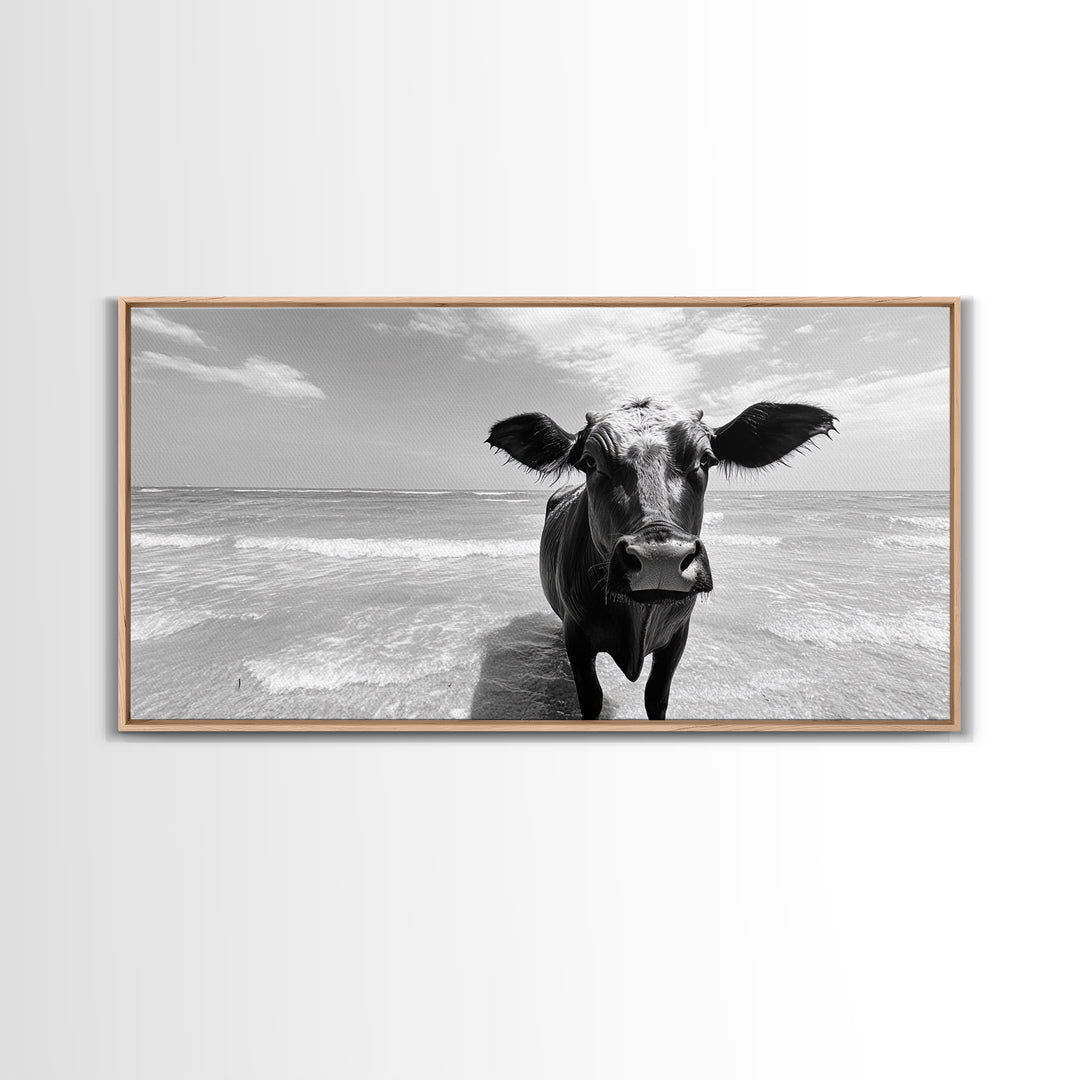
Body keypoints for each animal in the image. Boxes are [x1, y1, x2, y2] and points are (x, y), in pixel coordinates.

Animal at [486, 398, 837, 720]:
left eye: (705, 459)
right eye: (589, 462)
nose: (660, 558)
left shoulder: (676, 639)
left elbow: (656, 698)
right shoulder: (578, 638)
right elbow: (591, 699)